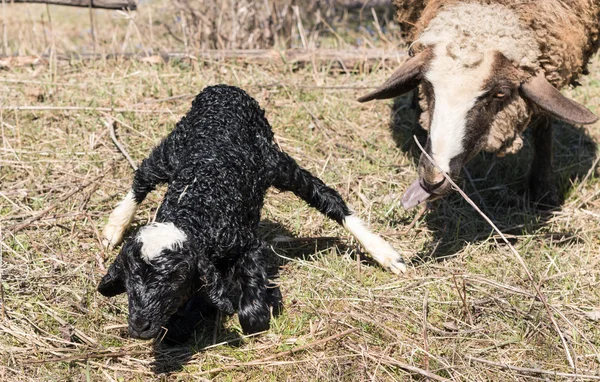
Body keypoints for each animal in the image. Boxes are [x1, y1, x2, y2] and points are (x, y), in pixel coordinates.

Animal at [99, 85, 408, 342]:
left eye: (175, 277)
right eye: (129, 279)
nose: (139, 327)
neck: (194, 211)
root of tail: (224, 89)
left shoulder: (247, 243)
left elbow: (249, 309)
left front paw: (261, 309)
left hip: (273, 161)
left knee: (326, 197)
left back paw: (385, 253)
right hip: (174, 148)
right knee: (143, 178)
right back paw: (114, 227)